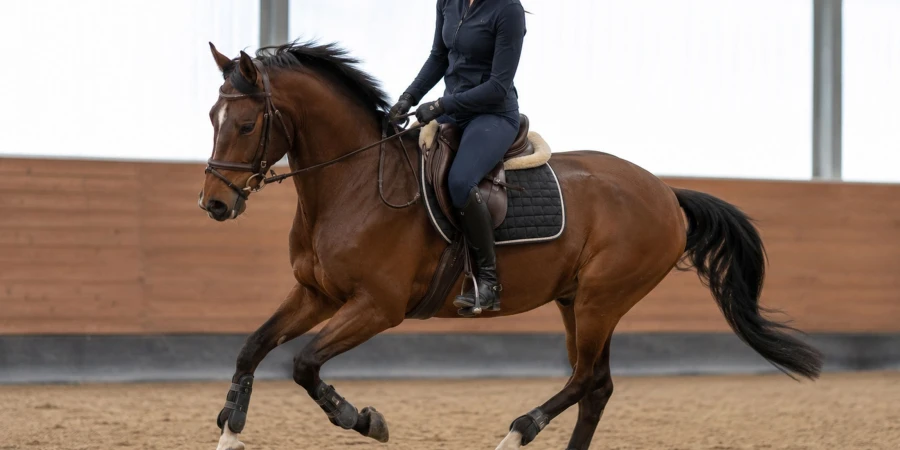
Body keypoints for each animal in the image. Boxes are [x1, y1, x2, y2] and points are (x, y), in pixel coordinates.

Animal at [198, 41, 823, 450]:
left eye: (248, 125)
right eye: (212, 117)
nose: (214, 205)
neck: (353, 184)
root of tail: (666, 192)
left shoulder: (377, 306)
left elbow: (304, 363)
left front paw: (365, 419)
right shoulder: (317, 294)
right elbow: (252, 347)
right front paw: (230, 424)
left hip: (601, 300)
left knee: (584, 379)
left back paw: (517, 432)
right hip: (577, 302)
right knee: (597, 386)